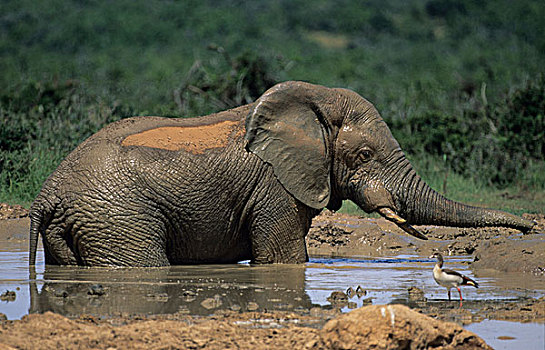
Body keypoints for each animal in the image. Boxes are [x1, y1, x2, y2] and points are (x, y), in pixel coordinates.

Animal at [28, 80, 532, 266]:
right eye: (364, 154)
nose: (530, 227)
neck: (314, 101)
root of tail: (46, 194)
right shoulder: (276, 186)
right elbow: (284, 259)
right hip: (118, 217)